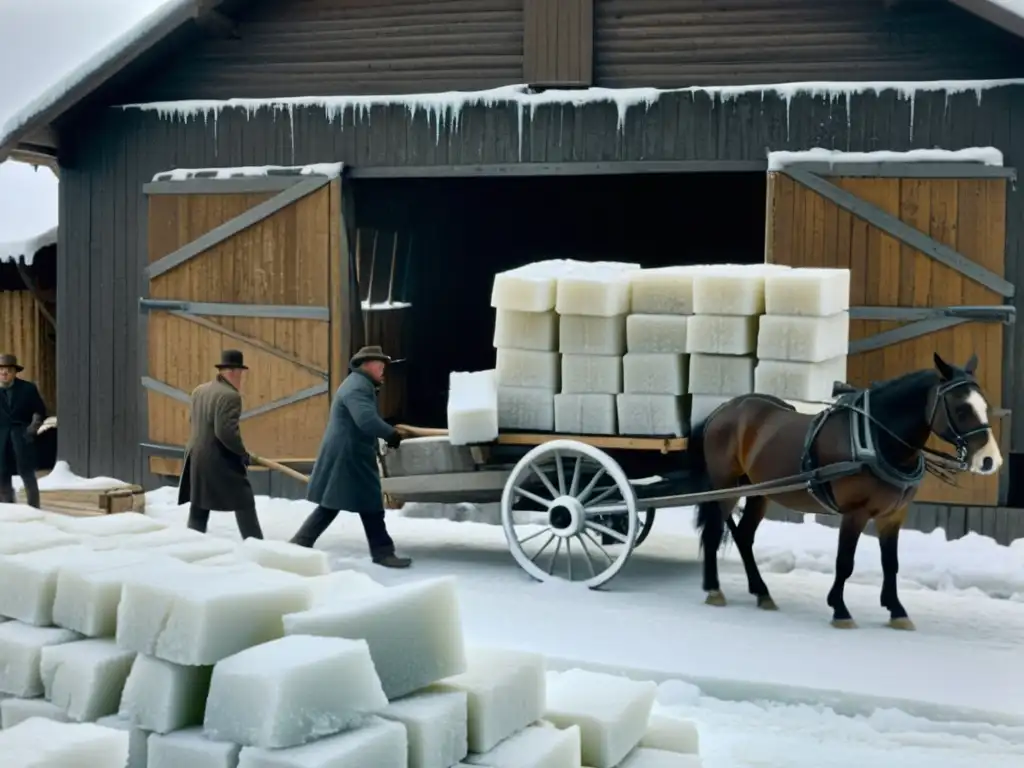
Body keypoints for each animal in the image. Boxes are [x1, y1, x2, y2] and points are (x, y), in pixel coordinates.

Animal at [692, 354, 1003, 630]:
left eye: (984, 406)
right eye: (961, 408)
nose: (990, 460)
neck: (877, 440)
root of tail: (723, 409)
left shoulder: (893, 516)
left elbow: (891, 564)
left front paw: (896, 610)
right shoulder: (856, 513)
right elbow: (845, 562)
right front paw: (840, 609)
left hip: (759, 491)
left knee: (744, 536)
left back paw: (761, 591)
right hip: (725, 486)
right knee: (713, 533)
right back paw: (714, 589)